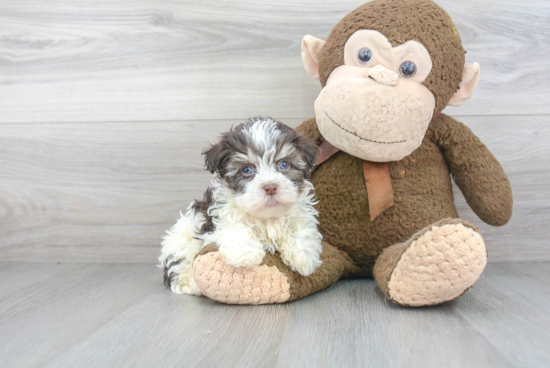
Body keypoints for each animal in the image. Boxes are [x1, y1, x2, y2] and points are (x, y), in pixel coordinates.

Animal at [160, 116, 324, 294]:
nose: (270, 187)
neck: (267, 216)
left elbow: (301, 228)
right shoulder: (218, 216)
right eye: (247, 169)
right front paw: (246, 254)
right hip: (180, 245)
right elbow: (236, 227)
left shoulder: (298, 211)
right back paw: (191, 283)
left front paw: (304, 256)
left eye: (284, 165)